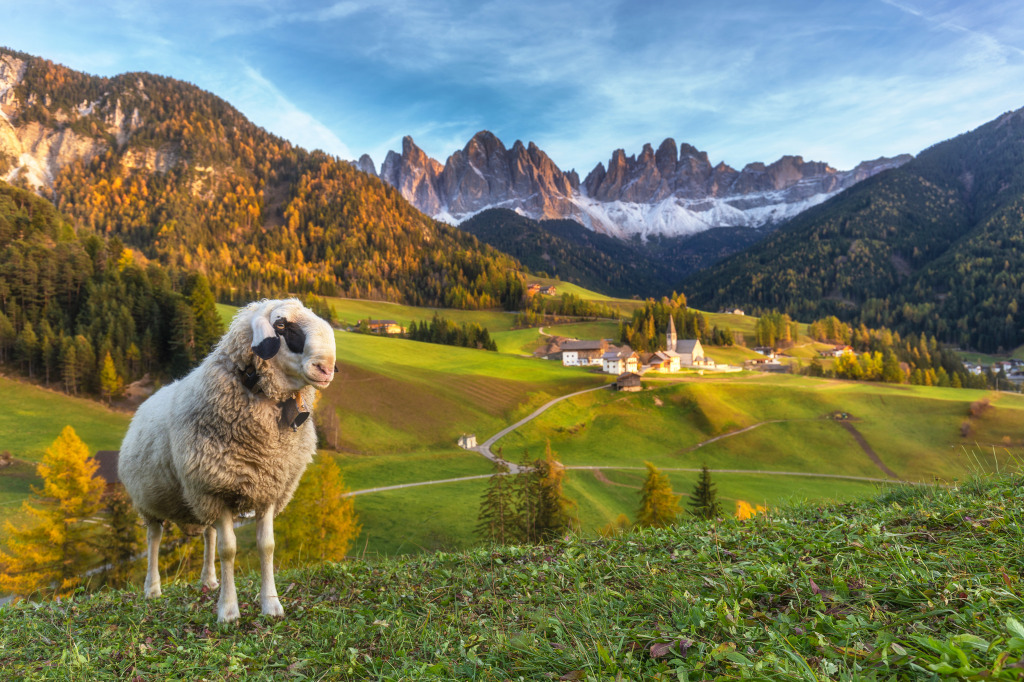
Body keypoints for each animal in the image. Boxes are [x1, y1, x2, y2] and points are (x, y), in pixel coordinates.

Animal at [117, 296, 335, 622]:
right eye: (281, 324)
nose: (326, 367)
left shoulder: (266, 488)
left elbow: (266, 547)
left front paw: (271, 605)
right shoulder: (216, 491)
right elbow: (229, 550)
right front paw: (229, 611)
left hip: (199, 494)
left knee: (208, 534)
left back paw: (208, 580)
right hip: (151, 501)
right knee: (154, 538)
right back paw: (152, 589)